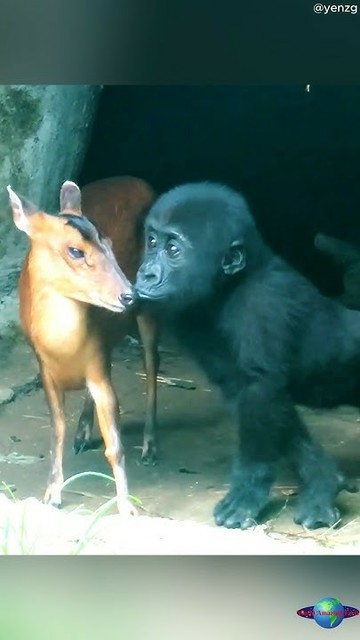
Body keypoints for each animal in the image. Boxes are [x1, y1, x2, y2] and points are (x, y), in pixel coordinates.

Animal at [136, 181, 360, 528]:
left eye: (173, 250)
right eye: (151, 241)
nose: (145, 273)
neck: (233, 282)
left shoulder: (263, 301)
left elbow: (259, 387)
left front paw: (248, 490)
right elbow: (245, 390)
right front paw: (323, 482)